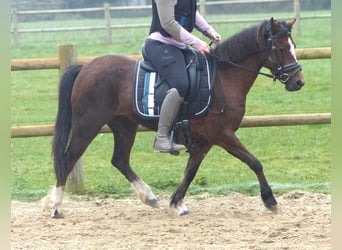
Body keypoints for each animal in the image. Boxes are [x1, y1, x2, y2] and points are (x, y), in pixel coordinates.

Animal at [50, 17, 304, 218]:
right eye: (281, 48)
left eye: (293, 45)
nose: (298, 81)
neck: (225, 77)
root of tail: (86, 68)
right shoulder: (223, 135)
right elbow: (254, 162)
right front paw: (269, 200)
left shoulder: (205, 141)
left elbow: (190, 171)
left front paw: (176, 202)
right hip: (88, 124)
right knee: (68, 158)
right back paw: (57, 206)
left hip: (124, 125)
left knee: (120, 160)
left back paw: (149, 196)